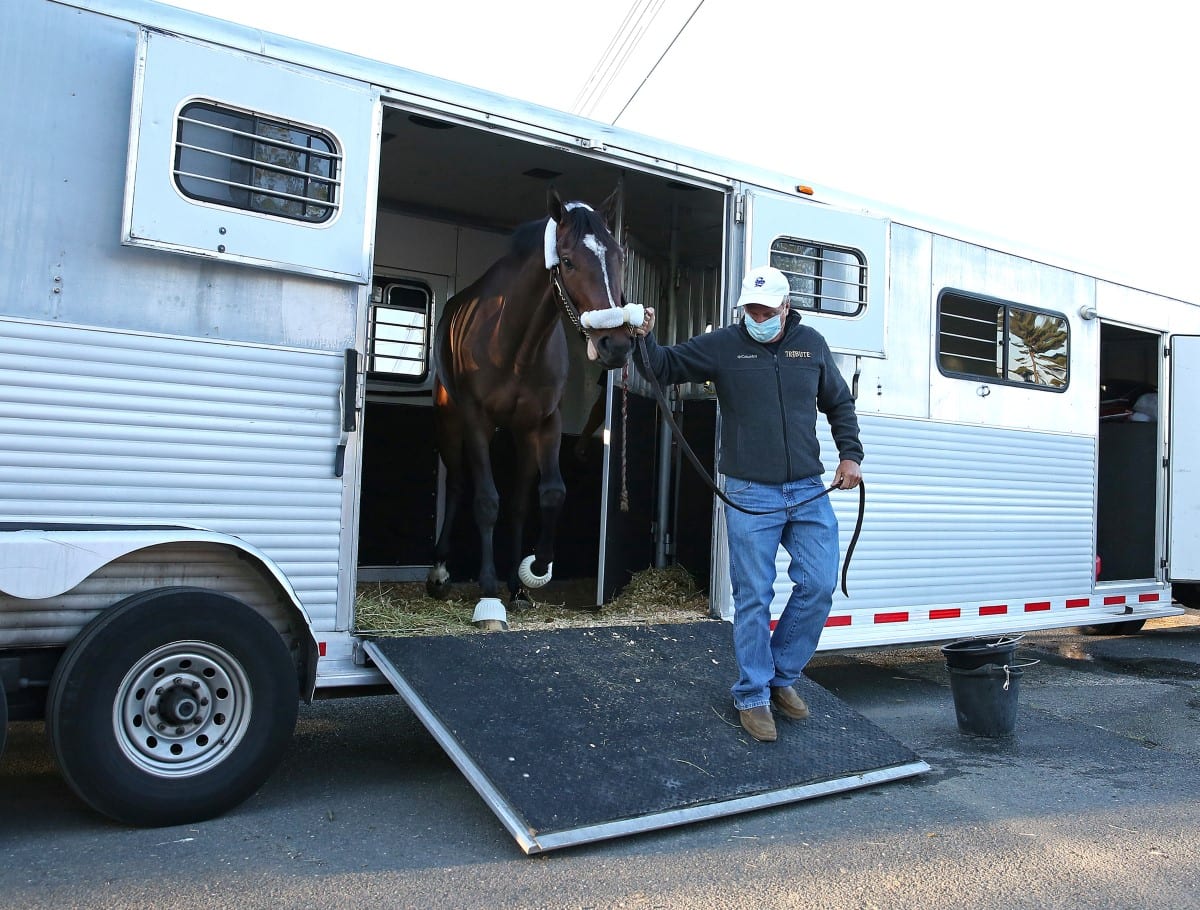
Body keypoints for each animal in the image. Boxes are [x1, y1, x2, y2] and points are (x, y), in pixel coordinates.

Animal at [427, 192, 643, 629]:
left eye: (617, 257)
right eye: (568, 261)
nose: (616, 345)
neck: (513, 342)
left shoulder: (544, 423)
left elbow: (549, 495)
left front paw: (531, 573)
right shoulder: (477, 420)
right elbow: (487, 502)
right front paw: (489, 596)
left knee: (519, 499)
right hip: (451, 420)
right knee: (458, 483)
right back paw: (441, 572)